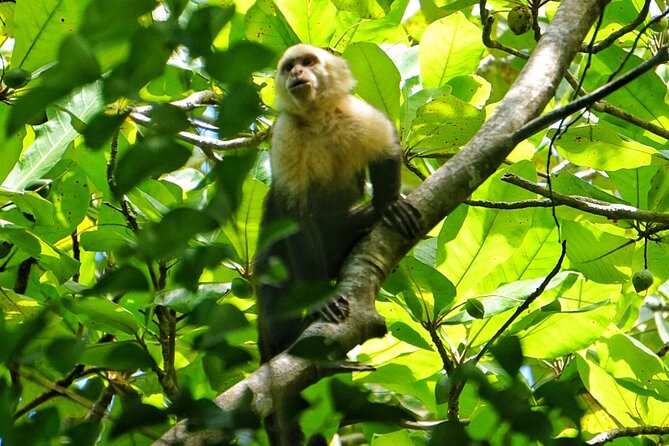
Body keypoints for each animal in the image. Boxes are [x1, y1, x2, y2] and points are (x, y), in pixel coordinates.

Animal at [253, 43, 420, 444]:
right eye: (288, 67)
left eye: (308, 62)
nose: (298, 74)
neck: (318, 118)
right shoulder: (285, 136)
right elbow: (294, 217)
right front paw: (320, 300)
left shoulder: (357, 113)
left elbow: (387, 148)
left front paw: (388, 204)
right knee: (272, 277)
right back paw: (288, 334)